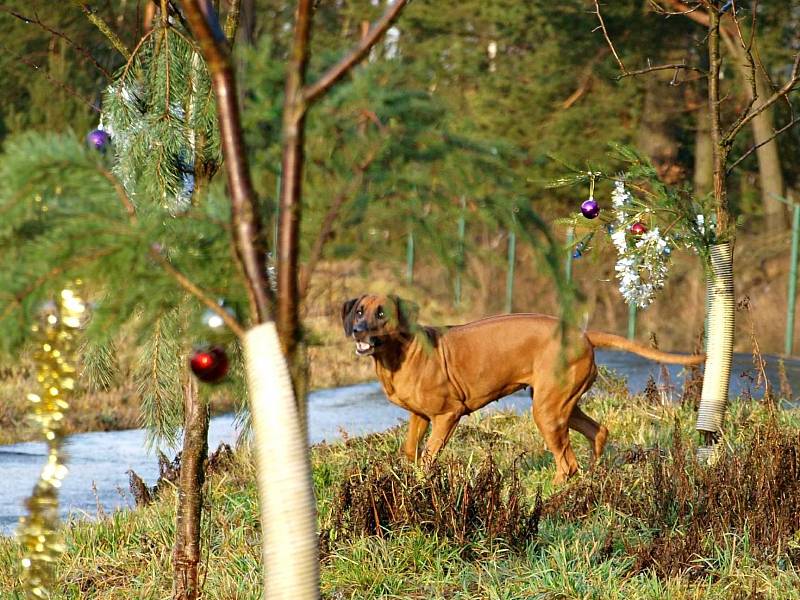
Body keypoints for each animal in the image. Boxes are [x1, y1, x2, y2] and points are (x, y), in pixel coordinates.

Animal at [340, 292, 704, 486]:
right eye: (359, 311)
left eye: (381, 313)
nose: (358, 330)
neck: (401, 352)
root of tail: (582, 334)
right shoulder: (419, 416)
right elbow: (409, 451)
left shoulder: (447, 415)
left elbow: (429, 455)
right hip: (561, 403)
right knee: (597, 432)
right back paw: (594, 475)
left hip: (547, 410)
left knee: (567, 463)